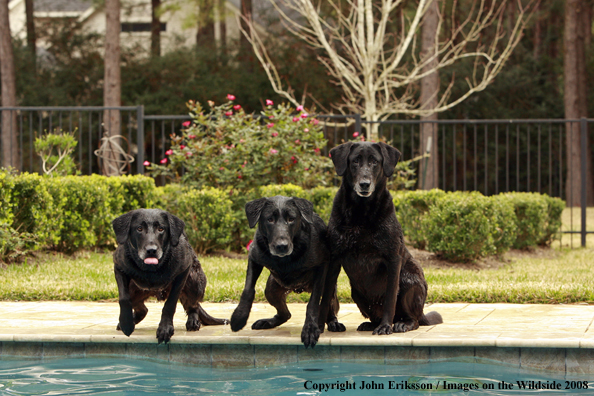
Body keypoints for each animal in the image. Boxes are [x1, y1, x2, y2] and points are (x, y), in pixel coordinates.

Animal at [111, 209, 227, 342]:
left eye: (161, 229)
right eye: (139, 228)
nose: (151, 250)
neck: (151, 269)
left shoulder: (183, 271)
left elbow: (170, 304)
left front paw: (165, 328)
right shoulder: (118, 266)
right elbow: (124, 298)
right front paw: (126, 323)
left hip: (194, 281)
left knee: (194, 306)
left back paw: (193, 321)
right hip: (134, 289)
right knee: (143, 309)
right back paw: (130, 321)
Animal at [229, 196, 344, 348]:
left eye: (291, 219)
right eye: (270, 219)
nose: (281, 246)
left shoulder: (322, 265)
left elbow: (313, 303)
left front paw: (310, 329)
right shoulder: (254, 257)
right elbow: (248, 290)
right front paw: (239, 317)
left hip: (330, 287)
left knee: (328, 305)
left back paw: (333, 322)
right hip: (271, 290)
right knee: (286, 314)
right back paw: (268, 322)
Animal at [326, 142, 442, 334]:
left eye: (375, 162)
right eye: (355, 161)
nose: (364, 184)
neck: (361, 212)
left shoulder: (393, 259)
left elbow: (390, 299)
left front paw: (386, 327)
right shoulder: (333, 259)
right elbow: (326, 295)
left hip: (409, 281)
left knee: (414, 320)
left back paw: (401, 324)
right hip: (356, 293)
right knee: (375, 315)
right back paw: (371, 324)